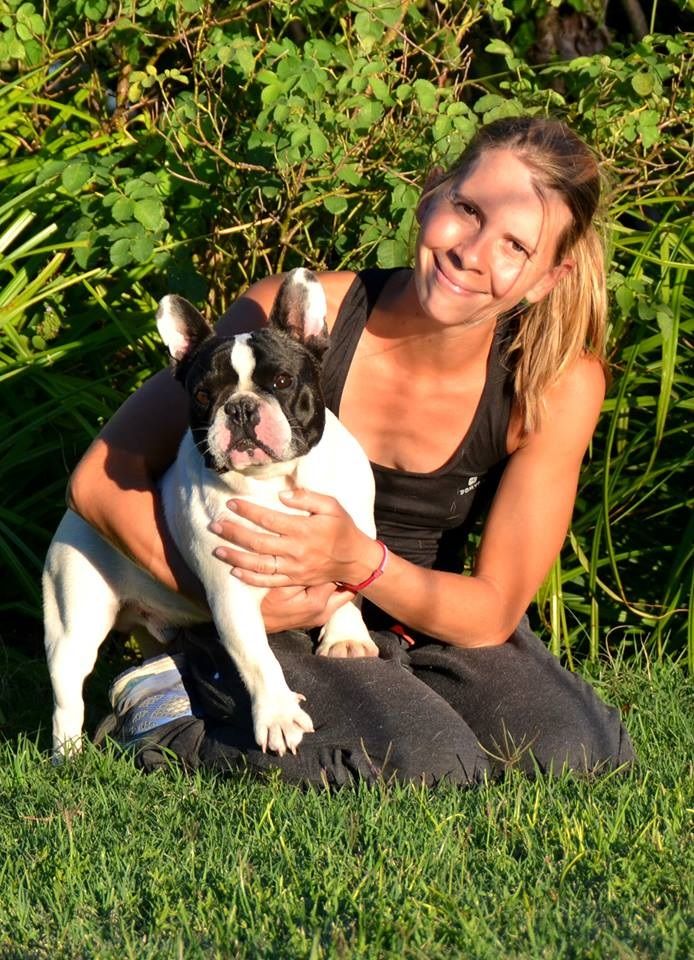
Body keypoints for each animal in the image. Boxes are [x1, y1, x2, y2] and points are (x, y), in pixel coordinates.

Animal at [43, 268, 378, 758]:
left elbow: (347, 586)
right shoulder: (230, 593)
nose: (239, 407)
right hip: (73, 622)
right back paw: (68, 756)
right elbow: (258, 658)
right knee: (67, 696)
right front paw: (278, 715)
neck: (275, 481)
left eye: (281, 381)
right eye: (203, 394)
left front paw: (346, 638)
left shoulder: (352, 536)